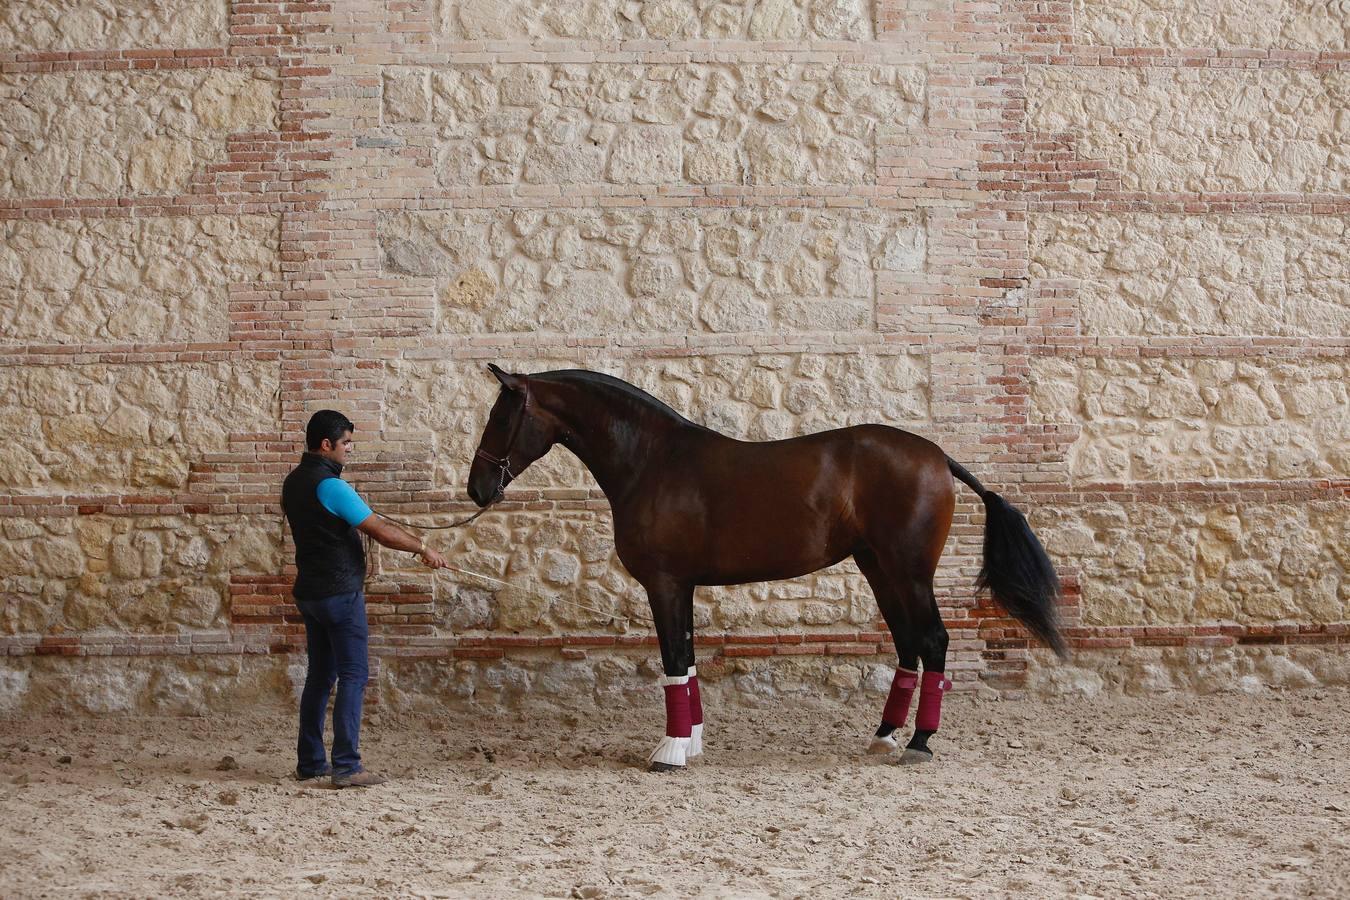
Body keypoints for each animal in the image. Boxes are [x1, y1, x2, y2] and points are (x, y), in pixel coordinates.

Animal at [464, 367, 1063, 777]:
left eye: (501, 417)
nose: (477, 489)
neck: (653, 461)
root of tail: (938, 458)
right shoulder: (681, 587)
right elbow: (687, 660)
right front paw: (692, 741)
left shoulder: (664, 584)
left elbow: (673, 660)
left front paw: (671, 752)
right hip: (879, 568)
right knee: (908, 644)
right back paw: (885, 735)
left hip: (908, 571)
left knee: (934, 640)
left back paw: (919, 742)